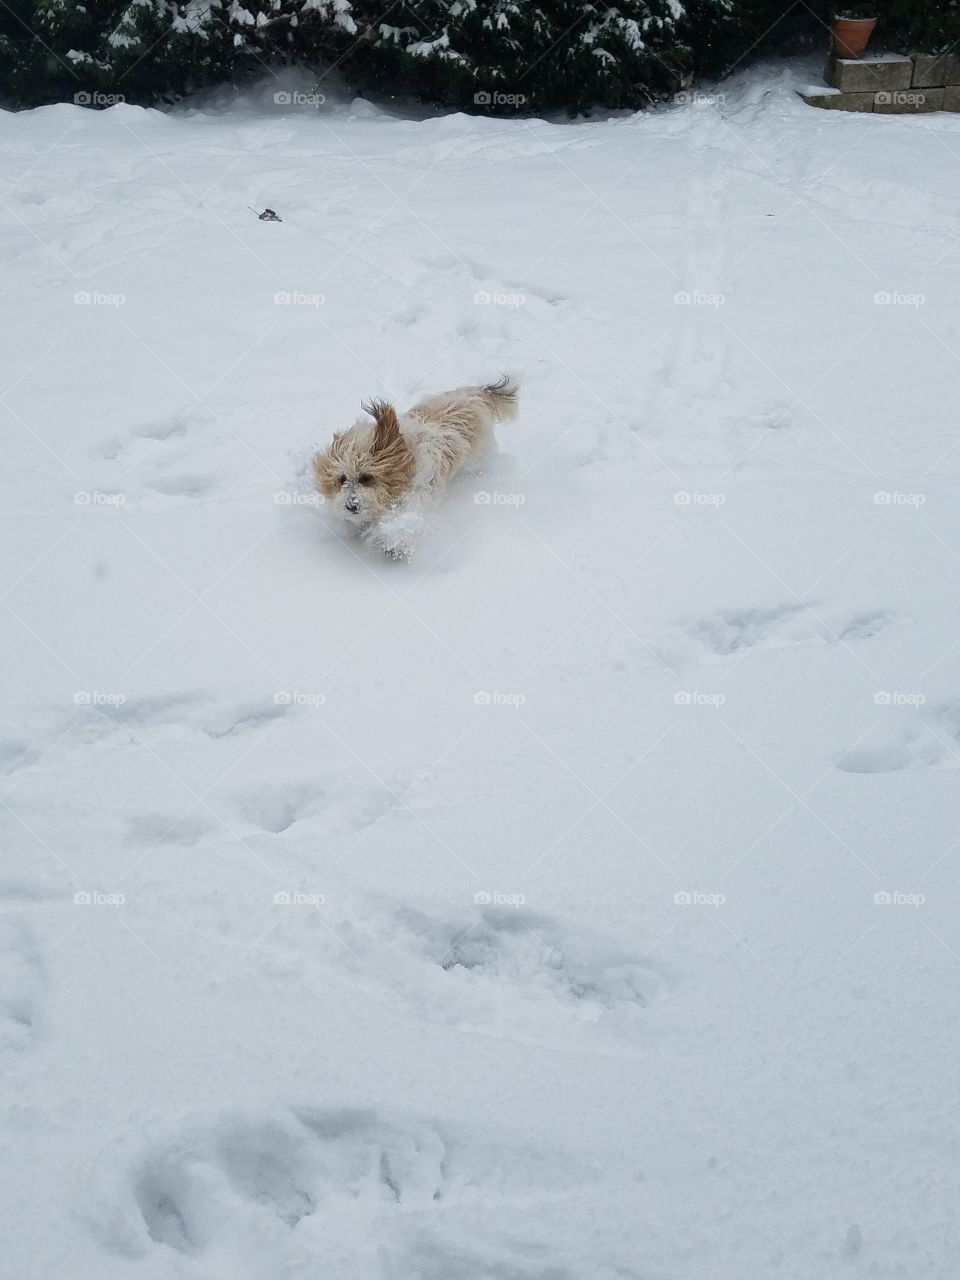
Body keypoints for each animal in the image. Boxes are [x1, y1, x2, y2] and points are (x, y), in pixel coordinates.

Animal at [313, 371, 519, 550]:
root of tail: (473, 393)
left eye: (366, 478)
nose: (350, 506)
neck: (408, 460)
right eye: (341, 480)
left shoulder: (419, 493)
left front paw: (394, 540)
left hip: (482, 452)